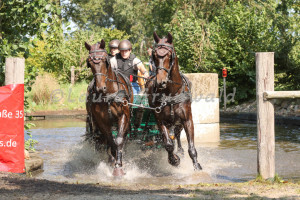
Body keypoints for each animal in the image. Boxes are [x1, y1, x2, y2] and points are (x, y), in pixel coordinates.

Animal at [83, 39, 132, 176]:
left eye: (105, 60)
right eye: (89, 63)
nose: (100, 88)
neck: (109, 95)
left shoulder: (123, 115)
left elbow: (119, 140)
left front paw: (119, 166)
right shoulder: (101, 121)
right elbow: (110, 140)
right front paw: (114, 159)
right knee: (102, 140)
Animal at [145, 32, 202, 170]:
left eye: (169, 55)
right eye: (154, 55)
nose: (160, 82)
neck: (171, 93)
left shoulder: (187, 120)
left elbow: (191, 146)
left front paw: (196, 166)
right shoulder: (160, 120)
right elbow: (168, 144)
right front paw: (174, 160)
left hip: (179, 122)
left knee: (177, 134)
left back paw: (180, 150)